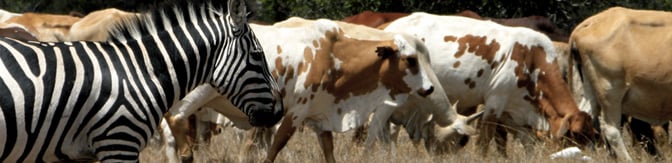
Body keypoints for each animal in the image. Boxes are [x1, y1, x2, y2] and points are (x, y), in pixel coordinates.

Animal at [384, 12, 600, 156]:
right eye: (575, 135)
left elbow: (526, 143)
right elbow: (484, 142)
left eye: (591, 136)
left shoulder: (515, 113)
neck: (532, 61)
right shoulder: (494, 104)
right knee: (392, 128)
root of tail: (390, 26)